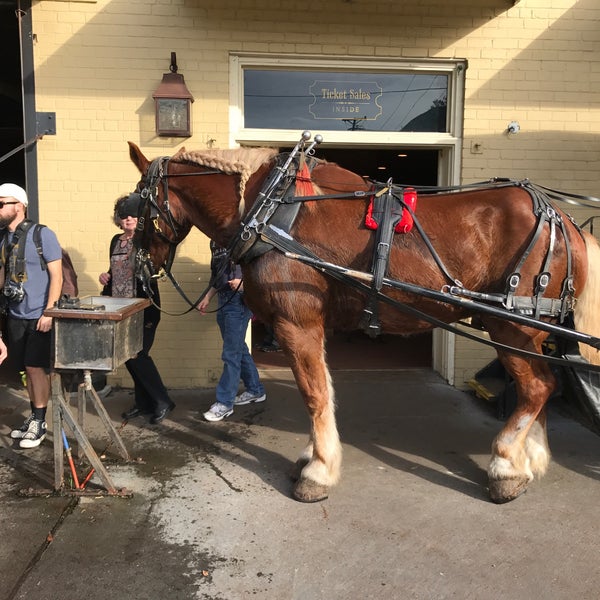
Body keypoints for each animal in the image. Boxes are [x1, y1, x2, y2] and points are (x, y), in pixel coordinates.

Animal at [126, 139, 600, 502]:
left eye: (132, 203)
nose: (140, 270)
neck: (269, 210)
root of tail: (564, 220)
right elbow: (322, 391)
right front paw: (313, 456)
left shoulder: (297, 323)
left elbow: (315, 395)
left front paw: (318, 471)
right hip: (524, 331)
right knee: (541, 384)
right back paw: (527, 458)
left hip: (509, 325)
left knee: (537, 386)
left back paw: (504, 464)